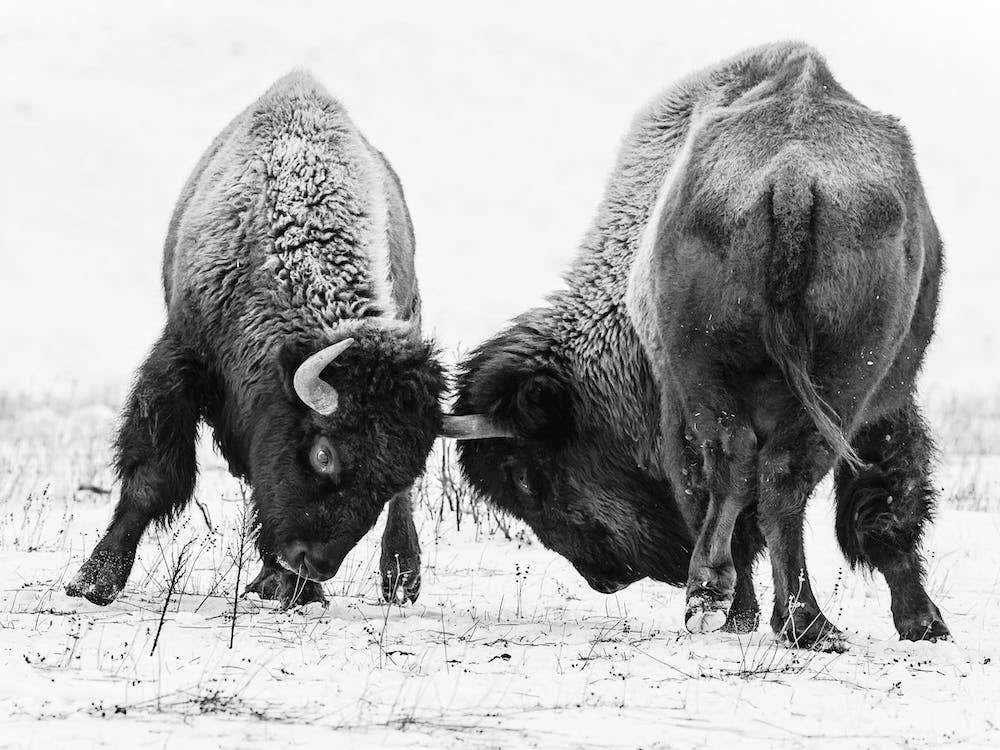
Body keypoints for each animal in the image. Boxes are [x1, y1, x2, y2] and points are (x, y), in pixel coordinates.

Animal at [67, 72, 444, 608]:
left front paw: (288, 588)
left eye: (391, 477)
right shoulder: (183, 359)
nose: (313, 564)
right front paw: (92, 582)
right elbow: (152, 478)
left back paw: (399, 579)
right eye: (323, 454)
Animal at [447, 42, 950, 649]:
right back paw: (788, 618)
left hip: (752, 384)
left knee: (750, 477)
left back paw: (744, 605)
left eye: (527, 477)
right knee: (769, 480)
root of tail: (792, 175)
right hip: (829, 387)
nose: (603, 578)